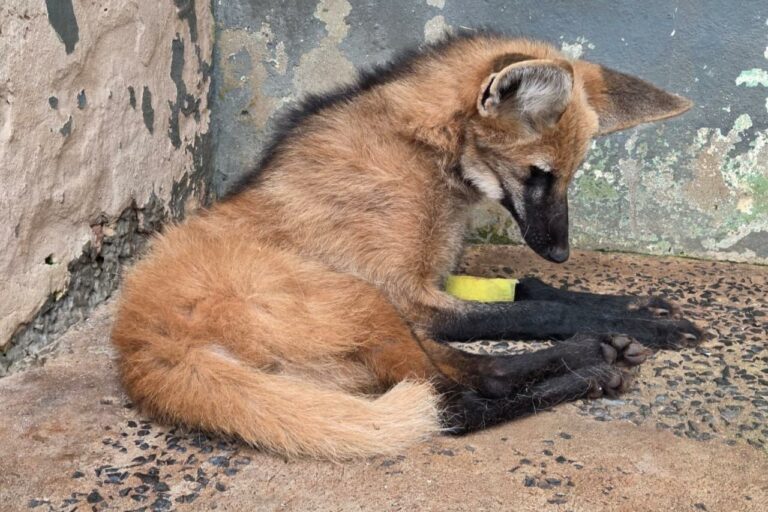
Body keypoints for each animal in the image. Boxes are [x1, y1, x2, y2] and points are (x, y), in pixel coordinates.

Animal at [112, 32, 702, 459]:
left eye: (569, 176)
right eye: (539, 174)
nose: (560, 253)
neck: (427, 151)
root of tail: (144, 348)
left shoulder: (434, 277)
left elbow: (531, 291)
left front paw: (632, 310)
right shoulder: (407, 294)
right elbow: (540, 310)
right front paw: (641, 321)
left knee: (480, 375)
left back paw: (597, 356)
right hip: (362, 300)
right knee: (456, 406)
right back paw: (593, 365)